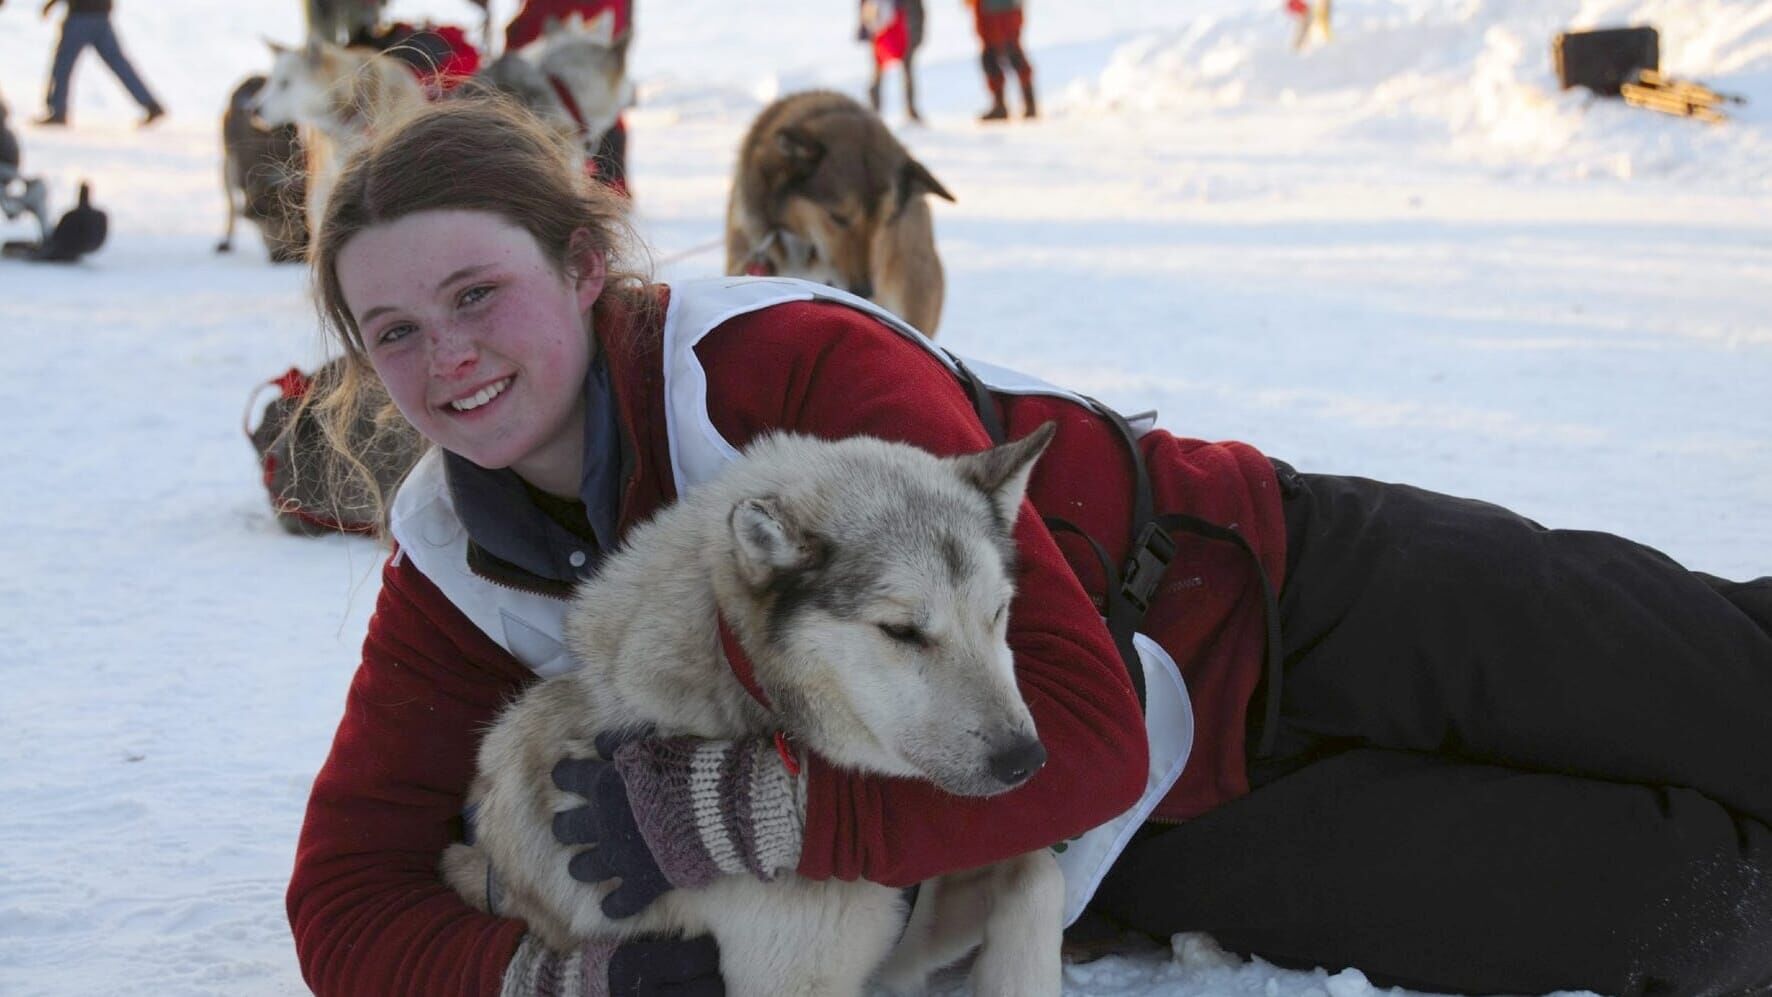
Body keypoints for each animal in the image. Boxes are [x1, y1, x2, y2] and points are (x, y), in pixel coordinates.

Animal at [215, 75, 308, 265]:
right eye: (265, 221)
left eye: (294, 218)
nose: (282, 258)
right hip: (227, 164)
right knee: (230, 203)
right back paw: (226, 244)